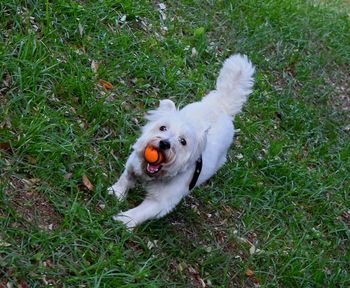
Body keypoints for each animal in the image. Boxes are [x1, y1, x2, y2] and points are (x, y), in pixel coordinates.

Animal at [107, 54, 254, 228]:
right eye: (162, 128)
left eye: (183, 141)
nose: (164, 143)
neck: (156, 175)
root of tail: (221, 105)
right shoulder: (133, 163)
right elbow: (126, 178)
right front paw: (116, 193)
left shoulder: (160, 203)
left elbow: (139, 212)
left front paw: (122, 221)